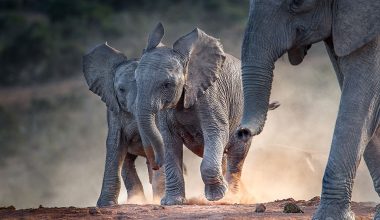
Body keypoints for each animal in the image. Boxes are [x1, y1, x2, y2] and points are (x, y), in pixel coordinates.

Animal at [83, 42, 163, 206]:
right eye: (121, 89)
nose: (155, 164)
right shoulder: (113, 109)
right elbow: (115, 144)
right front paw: (105, 205)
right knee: (127, 162)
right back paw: (136, 200)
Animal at [134, 23, 280, 205]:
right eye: (136, 81)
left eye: (167, 84)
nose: (155, 164)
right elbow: (169, 141)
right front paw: (171, 203)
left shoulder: (210, 95)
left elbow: (216, 131)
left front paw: (216, 197)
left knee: (236, 154)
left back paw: (231, 198)